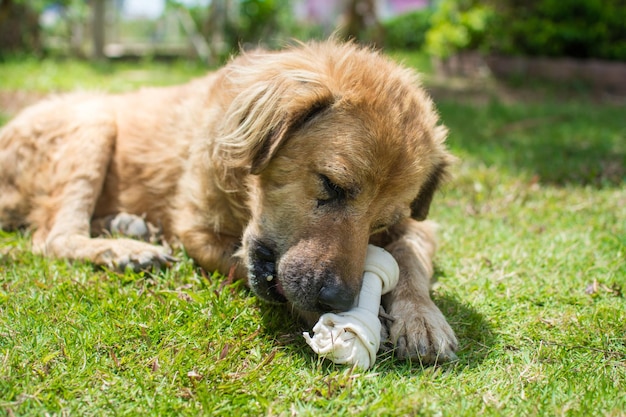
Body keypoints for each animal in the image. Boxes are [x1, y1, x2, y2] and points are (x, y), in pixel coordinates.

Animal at [1, 40, 458, 362]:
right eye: (331, 185)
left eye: (381, 223)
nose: (339, 301)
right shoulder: (196, 230)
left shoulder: (419, 227)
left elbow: (411, 260)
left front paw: (422, 317)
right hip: (94, 121)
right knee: (54, 237)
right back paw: (124, 250)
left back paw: (128, 228)